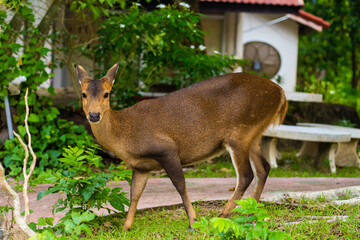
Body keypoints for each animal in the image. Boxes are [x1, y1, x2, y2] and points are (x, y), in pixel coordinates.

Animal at [76, 63, 286, 231]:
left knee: (246, 175)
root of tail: (281, 94)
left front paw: (193, 222)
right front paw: (126, 227)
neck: (123, 134)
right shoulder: (141, 166)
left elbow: (180, 185)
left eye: (106, 94)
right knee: (263, 167)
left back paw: (223, 215)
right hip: (254, 135)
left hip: (239, 134)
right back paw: (250, 212)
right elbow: (135, 193)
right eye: (83, 94)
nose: (94, 115)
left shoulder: (166, 149)